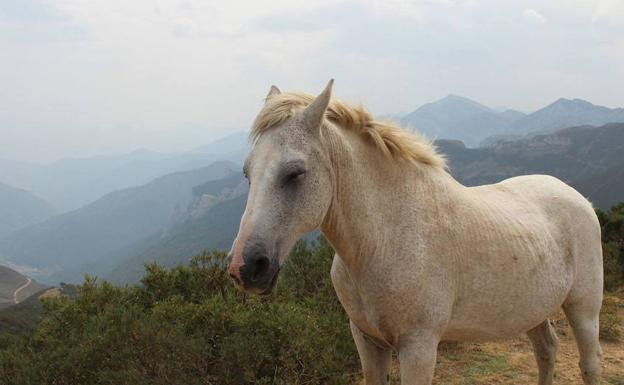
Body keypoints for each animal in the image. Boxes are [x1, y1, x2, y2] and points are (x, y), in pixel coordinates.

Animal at [228, 81, 604, 384]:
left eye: (295, 173)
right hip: (533, 310)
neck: (384, 241)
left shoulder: (419, 347)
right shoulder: (367, 340)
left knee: (589, 363)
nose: (245, 267)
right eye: (247, 173)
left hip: (584, 308)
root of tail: (577, 197)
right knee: (547, 351)